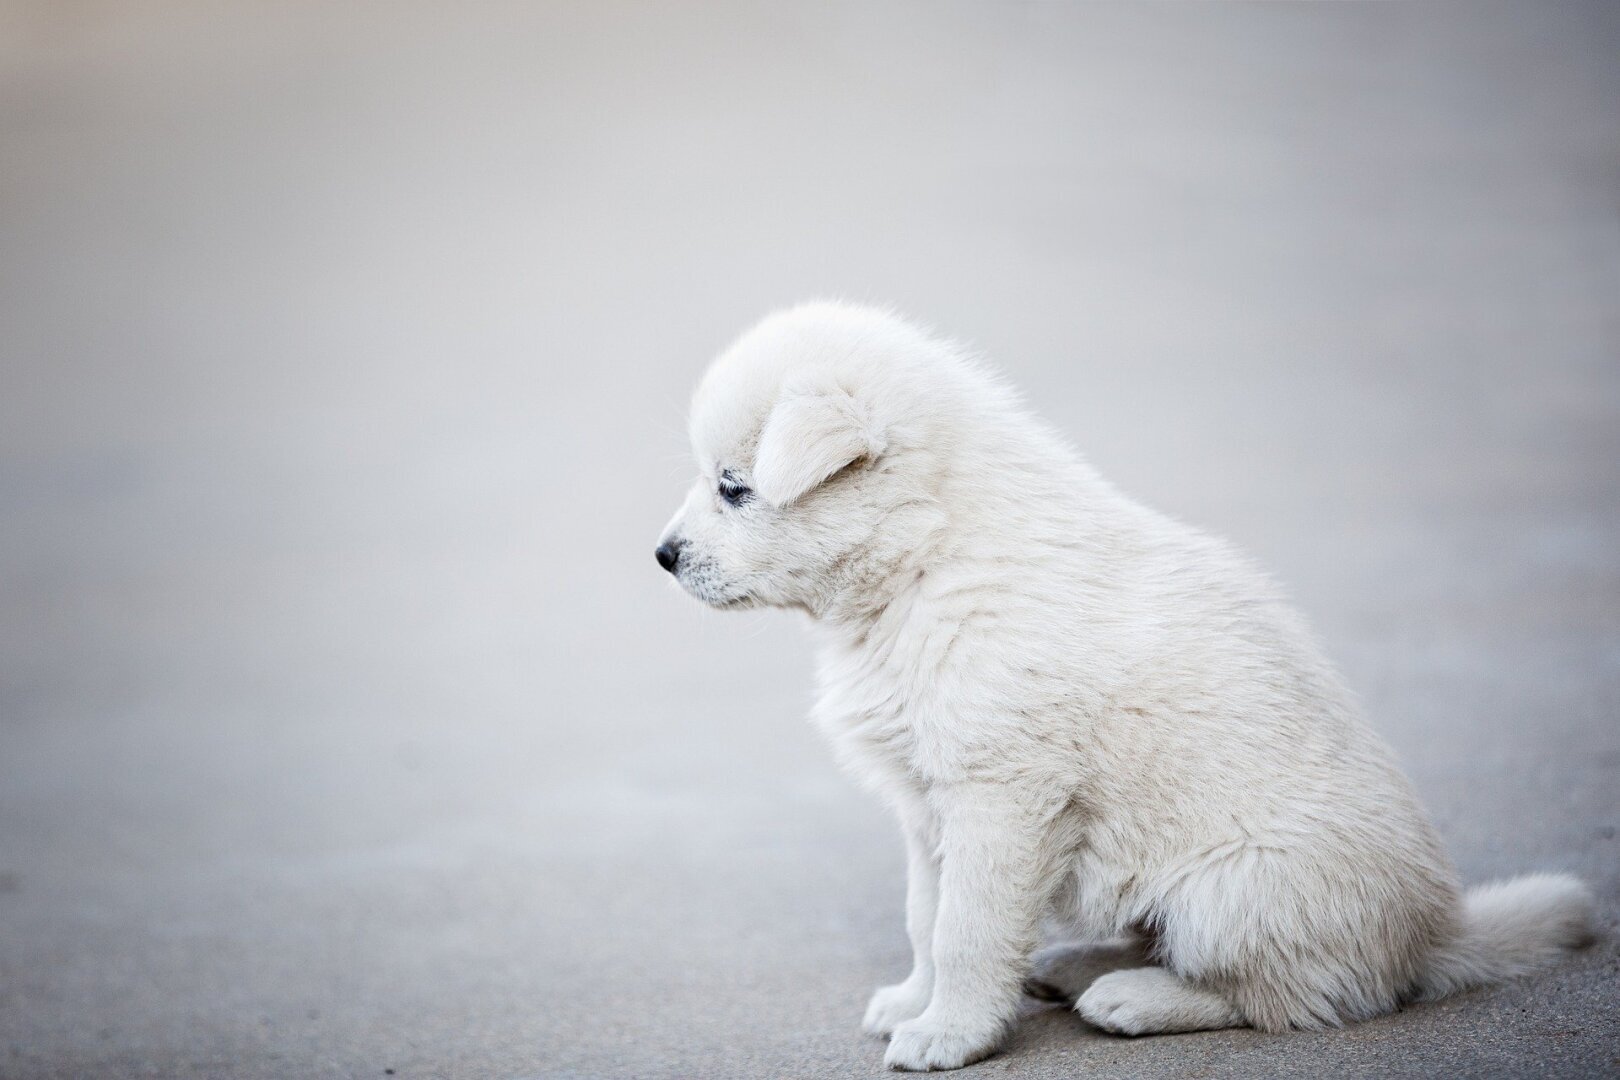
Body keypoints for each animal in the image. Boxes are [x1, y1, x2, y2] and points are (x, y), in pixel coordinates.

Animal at [651, 304, 1587, 1075]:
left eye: (734, 487)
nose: (661, 555)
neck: (928, 560)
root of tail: (1433, 938)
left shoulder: (1000, 796)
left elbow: (966, 929)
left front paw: (949, 1034)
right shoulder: (927, 804)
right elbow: (925, 915)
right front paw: (914, 1002)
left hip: (1232, 891)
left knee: (1290, 997)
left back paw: (1134, 998)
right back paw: (1076, 966)